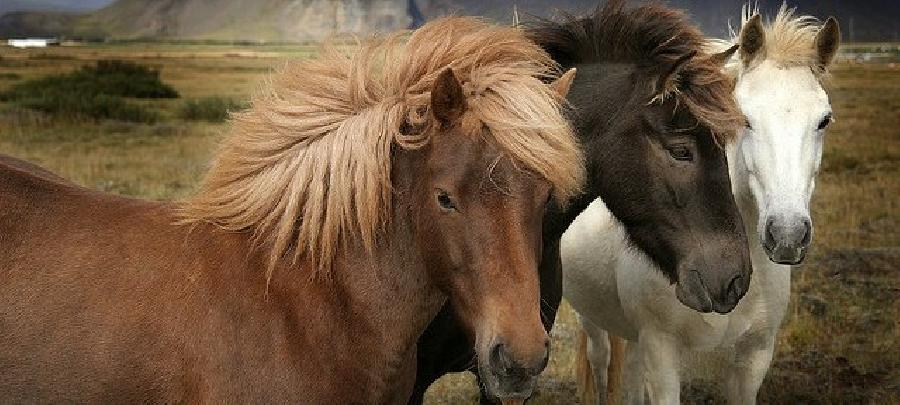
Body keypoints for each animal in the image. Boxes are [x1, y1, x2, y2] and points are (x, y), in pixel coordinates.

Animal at [564, 4, 844, 402]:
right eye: (745, 120)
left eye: (824, 120)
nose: (787, 234)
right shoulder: (662, 354)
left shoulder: (754, 358)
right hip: (591, 320)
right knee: (600, 361)